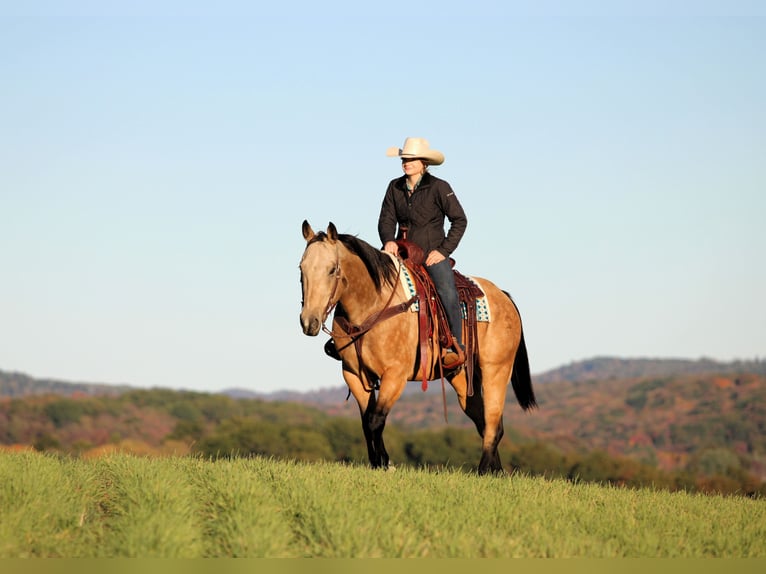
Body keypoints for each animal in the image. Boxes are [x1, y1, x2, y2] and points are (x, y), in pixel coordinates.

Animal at [299, 220, 536, 474]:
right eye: (301, 268)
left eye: (332, 269)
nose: (308, 321)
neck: (372, 305)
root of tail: (504, 296)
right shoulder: (354, 375)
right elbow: (366, 421)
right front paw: (377, 463)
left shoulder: (395, 375)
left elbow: (375, 419)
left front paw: (386, 464)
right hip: (461, 377)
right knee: (485, 422)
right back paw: (495, 471)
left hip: (496, 370)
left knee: (493, 422)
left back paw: (483, 470)